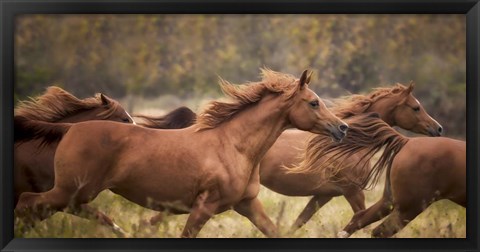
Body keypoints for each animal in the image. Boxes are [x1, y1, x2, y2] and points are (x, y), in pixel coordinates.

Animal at [258, 81, 442, 231]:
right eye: (416, 107)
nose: (438, 128)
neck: (350, 144)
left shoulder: (323, 196)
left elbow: (298, 223)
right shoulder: (354, 192)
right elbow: (363, 224)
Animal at [304, 114, 464, 238]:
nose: (438, 129)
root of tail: (406, 141)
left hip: (390, 201)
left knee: (359, 220)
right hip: (409, 207)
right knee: (381, 231)